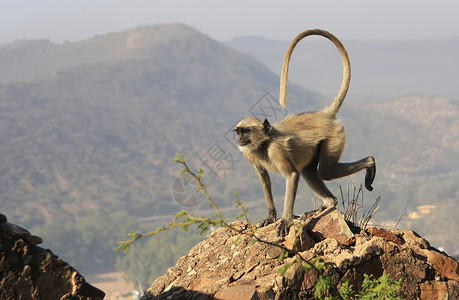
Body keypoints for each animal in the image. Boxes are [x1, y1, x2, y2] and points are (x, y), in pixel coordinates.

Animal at [235, 29, 376, 237]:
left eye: (246, 131)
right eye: (238, 132)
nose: (240, 139)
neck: (264, 143)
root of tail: (324, 114)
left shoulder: (275, 149)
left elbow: (292, 175)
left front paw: (285, 220)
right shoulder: (249, 153)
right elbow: (263, 177)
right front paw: (271, 217)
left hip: (334, 137)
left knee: (325, 171)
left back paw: (370, 163)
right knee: (311, 172)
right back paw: (328, 204)